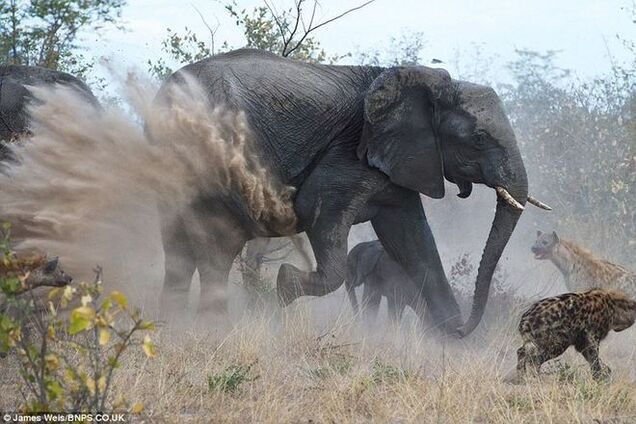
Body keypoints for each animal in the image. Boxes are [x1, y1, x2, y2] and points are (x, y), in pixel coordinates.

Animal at [157, 48, 548, 336]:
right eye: (479, 139)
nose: (464, 327)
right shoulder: (348, 153)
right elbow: (319, 214)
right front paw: (284, 287)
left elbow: (413, 238)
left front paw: (449, 344)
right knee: (217, 245)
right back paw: (212, 328)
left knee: (177, 247)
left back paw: (171, 325)